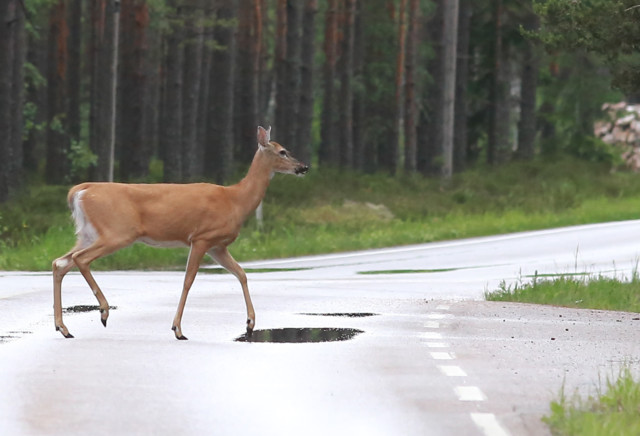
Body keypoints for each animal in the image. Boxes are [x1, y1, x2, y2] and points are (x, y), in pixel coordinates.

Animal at [52, 126, 308, 340]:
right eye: (283, 151)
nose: (304, 167)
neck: (235, 200)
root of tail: (80, 190)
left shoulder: (218, 246)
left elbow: (241, 274)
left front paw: (250, 324)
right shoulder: (202, 237)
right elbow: (188, 280)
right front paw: (177, 329)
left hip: (88, 233)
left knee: (59, 262)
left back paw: (63, 328)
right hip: (117, 232)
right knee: (79, 259)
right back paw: (103, 311)